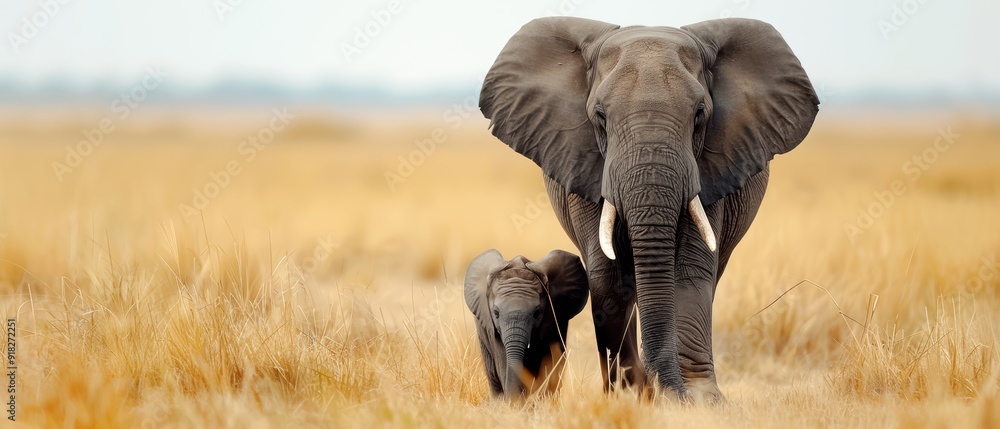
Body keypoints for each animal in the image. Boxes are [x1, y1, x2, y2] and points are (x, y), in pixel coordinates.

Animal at [479, 17, 819, 401]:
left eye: (699, 115)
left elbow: (688, 270)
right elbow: (608, 277)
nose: (666, 388)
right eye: (600, 116)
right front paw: (632, 395)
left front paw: (697, 400)